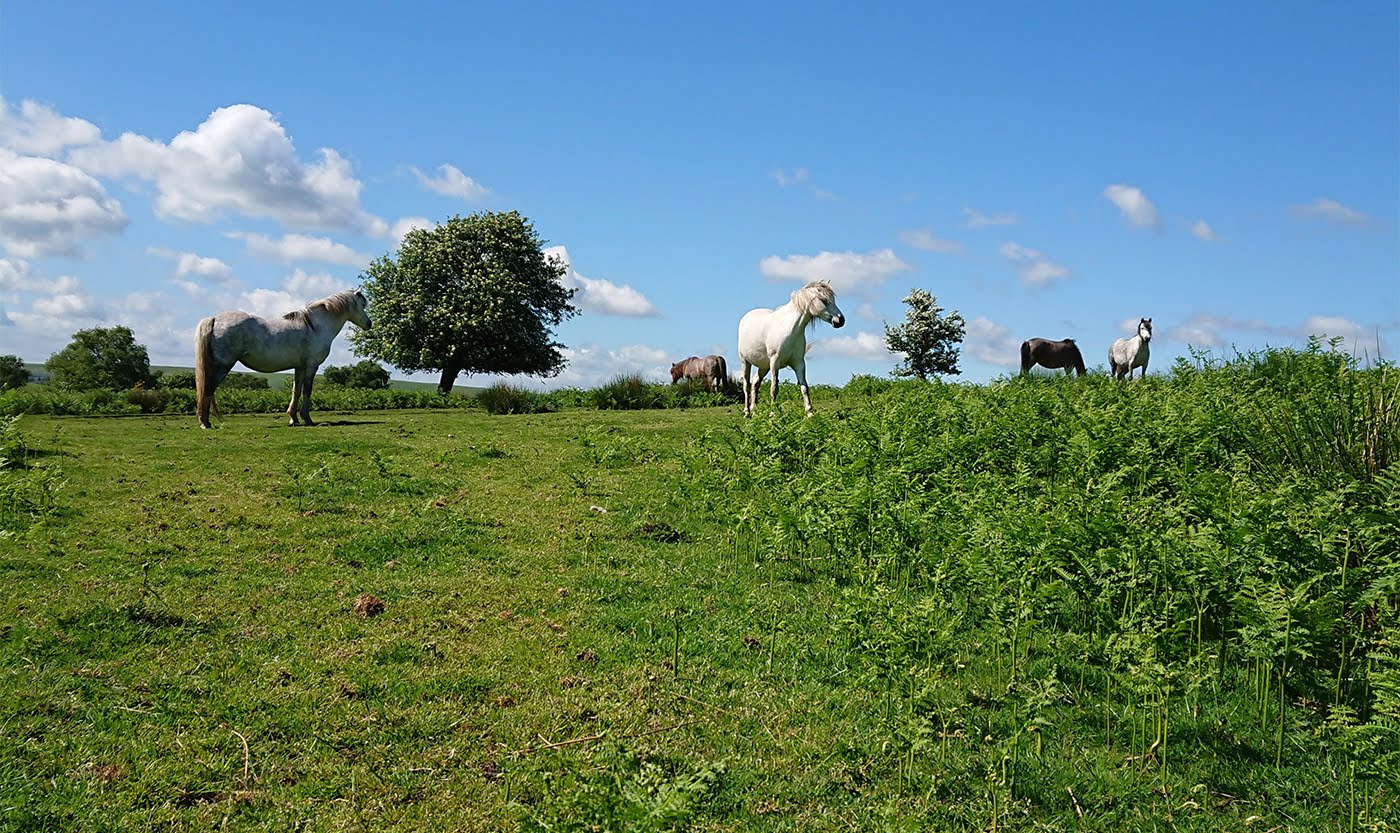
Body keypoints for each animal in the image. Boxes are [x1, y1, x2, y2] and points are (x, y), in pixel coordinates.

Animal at [195, 289, 372, 428]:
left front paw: (293, 418)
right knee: (208, 388)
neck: (316, 326)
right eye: (362, 304)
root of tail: (214, 319)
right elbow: (307, 391)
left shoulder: (299, 367)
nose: (369, 323)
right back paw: (205, 423)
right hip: (222, 366)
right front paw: (307, 418)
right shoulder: (311, 366)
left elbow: (296, 391)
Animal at [737, 279, 845, 417]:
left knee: (755, 383)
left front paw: (810, 412)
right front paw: (773, 413)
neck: (789, 329)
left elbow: (804, 387)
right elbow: (774, 388)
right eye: (823, 299)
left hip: (764, 366)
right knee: (746, 385)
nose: (840, 320)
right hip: (745, 361)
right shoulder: (775, 362)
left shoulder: (798, 362)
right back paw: (747, 412)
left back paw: (755, 411)